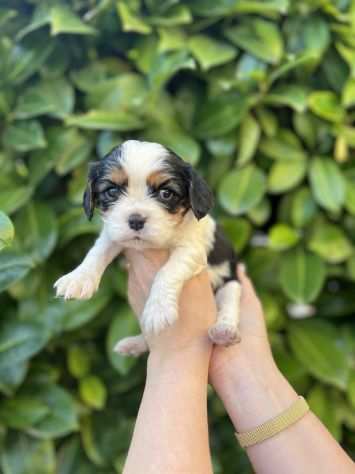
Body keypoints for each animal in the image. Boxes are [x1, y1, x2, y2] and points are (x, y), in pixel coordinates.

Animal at [54, 140, 243, 356]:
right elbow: (98, 250)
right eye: (112, 191)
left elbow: (168, 271)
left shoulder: (192, 250)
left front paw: (158, 309)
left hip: (230, 283)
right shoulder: (114, 233)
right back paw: (134, 344)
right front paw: (78, 278)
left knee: (229, 306)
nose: (136, 220)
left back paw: (224, 331)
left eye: (166, 194)